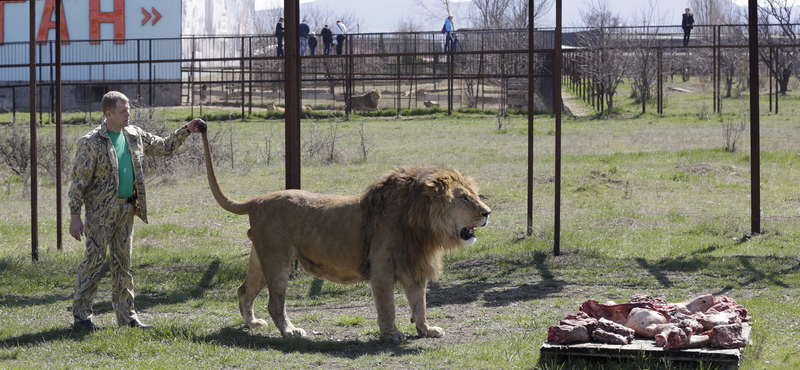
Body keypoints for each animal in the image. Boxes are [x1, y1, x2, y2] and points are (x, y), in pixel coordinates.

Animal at [197, 123, 490, 342]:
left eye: (474, 195)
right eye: (464, 198)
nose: (487, 212)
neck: (421, 225)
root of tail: (257, 200)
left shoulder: (414, 266)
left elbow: (420, 303)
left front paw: (426, 329)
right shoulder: (381, 268)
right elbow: (388, 306)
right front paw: (391, 335)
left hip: (261, 259)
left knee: (244, 290)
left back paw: (252, 323)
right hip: (277, 261)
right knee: (274, 302)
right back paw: (291, 331)